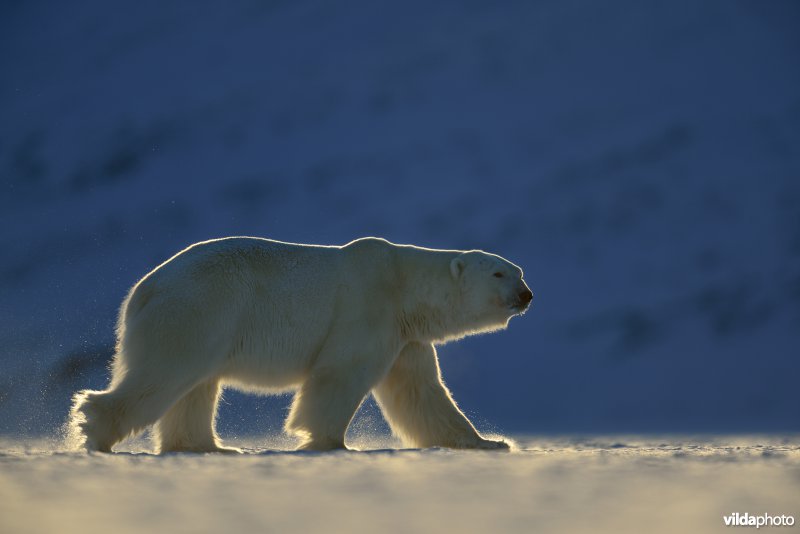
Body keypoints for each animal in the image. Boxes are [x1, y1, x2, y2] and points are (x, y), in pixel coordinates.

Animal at [69, 238, 532, 452]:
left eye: (518, 270)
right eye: (498, 274)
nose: (527, 295)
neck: (403, 285)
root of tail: (142, 289)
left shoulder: (406, 336)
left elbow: (422, 394)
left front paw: (489, 442)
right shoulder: (367, 309)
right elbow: (339, 376)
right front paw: (326, 441)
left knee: (195, 388)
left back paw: (211, 446)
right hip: (199, 309)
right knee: (165, 374)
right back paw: (96, 431)